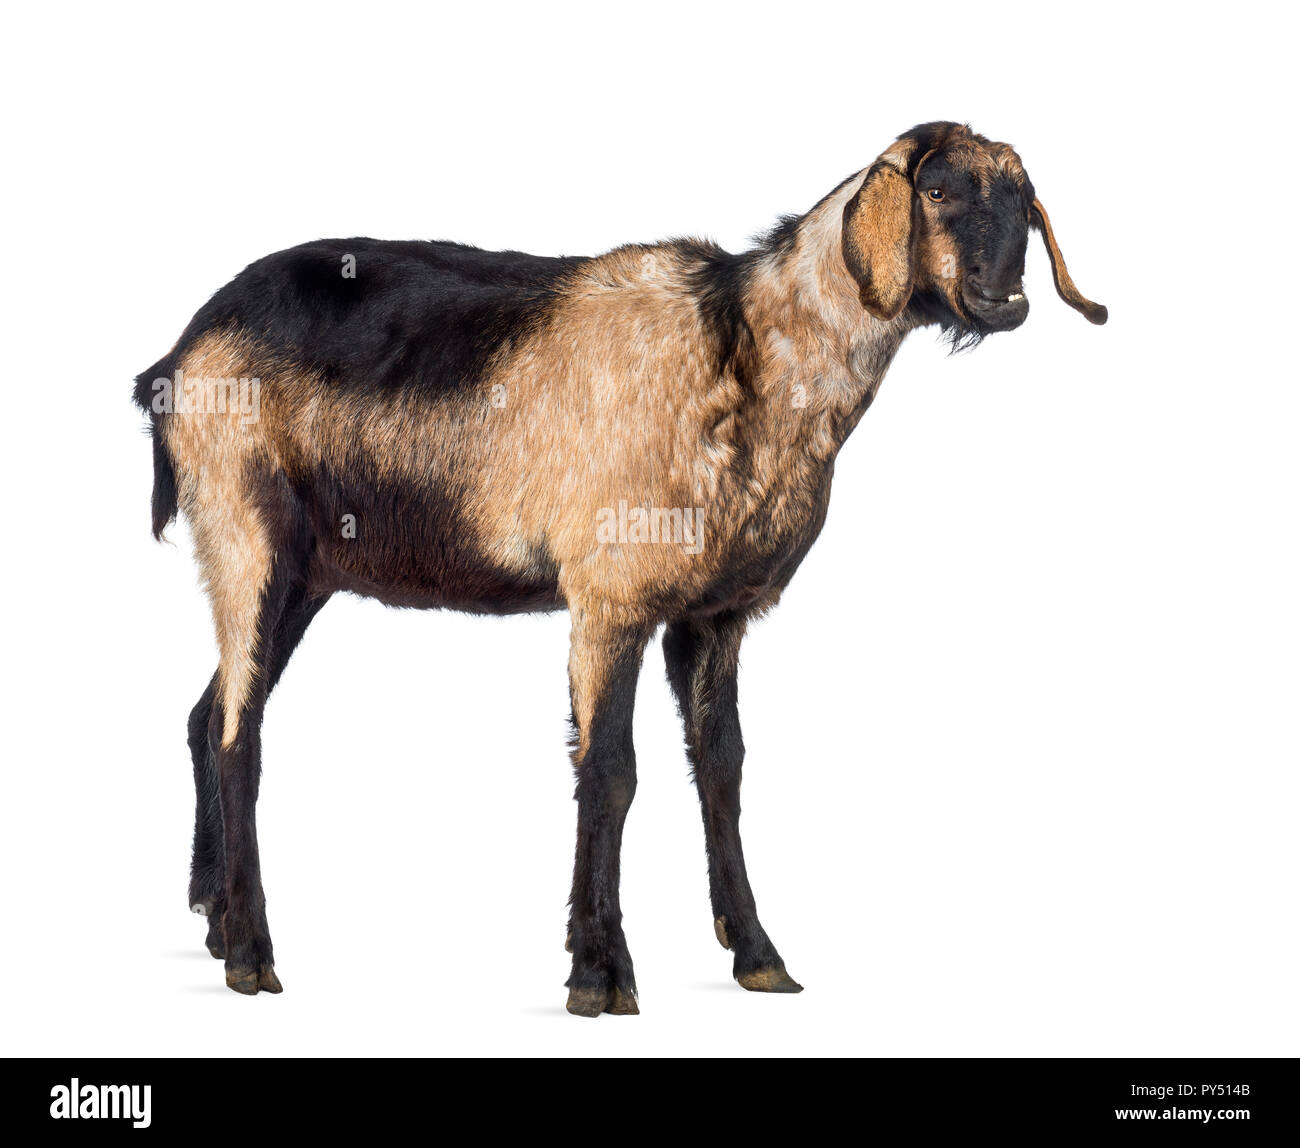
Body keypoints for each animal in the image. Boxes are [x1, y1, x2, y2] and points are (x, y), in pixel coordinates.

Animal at [134, 121, 1106, 1014]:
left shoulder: (716, 612)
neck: (748, 348)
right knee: (240, 733)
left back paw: (214, 917)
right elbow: (609, 770)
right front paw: (599, 973)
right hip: (244, 527)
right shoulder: (609, 595)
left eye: (1023, 199)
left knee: (206, 712)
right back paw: (251, 956)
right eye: (937, 190)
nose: (1002, 298)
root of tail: (177, 358)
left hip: (304, 573)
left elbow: (722, 768)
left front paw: (759, 956)